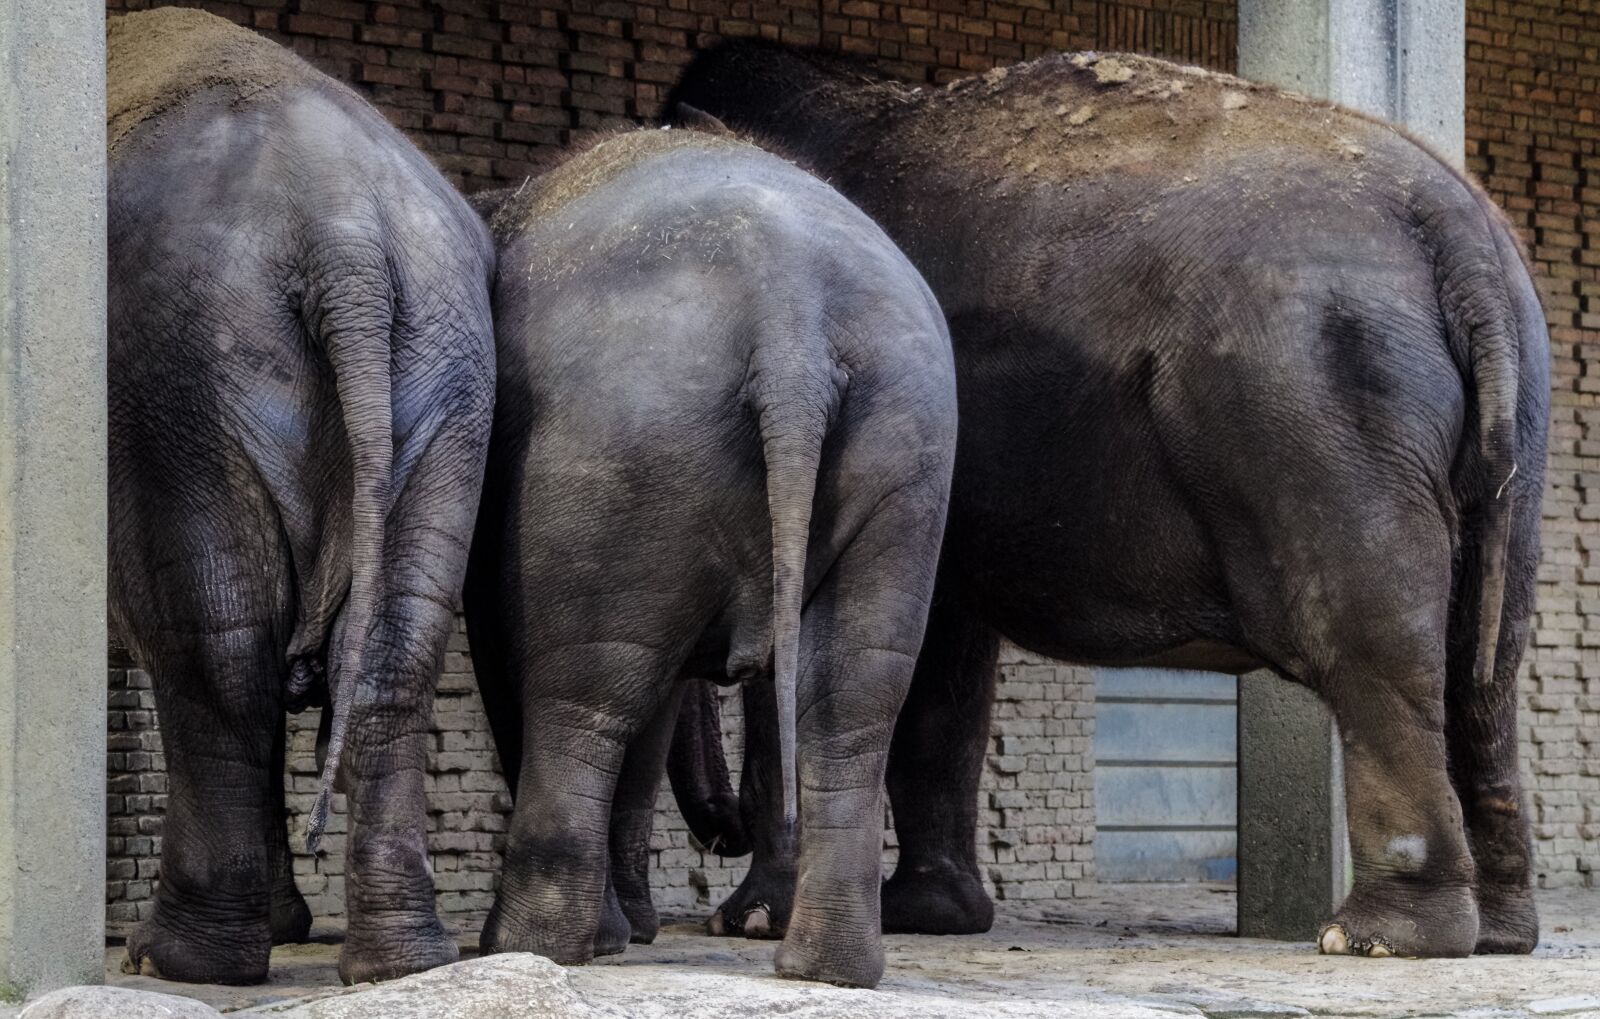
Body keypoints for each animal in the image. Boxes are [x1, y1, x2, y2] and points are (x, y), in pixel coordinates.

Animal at [106, 9, 492, 985]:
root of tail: (343, 235)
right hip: (452, 370)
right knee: (399, 646)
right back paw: (404, 962)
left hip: (174, 381)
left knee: (216, 643)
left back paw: (175, 961)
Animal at [464, 125, 953, 985]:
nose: (723, 827)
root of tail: (793, 314)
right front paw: (632, 930)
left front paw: (613, 935)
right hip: (906, 459)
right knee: (854, 698)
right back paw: (825, 967)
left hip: (624, 444)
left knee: (584, 695)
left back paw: (525, 944)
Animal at [662, 41, 1548, 959]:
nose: (717, 828)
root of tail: (1459, 232)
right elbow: (946, 657)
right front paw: (929, 917)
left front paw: (750, 922)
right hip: (1507, 418)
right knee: (1485, 662)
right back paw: (1498, 935)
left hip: (1328, 408)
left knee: (1375, 649)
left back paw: (1375, 938)